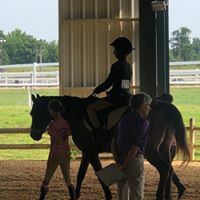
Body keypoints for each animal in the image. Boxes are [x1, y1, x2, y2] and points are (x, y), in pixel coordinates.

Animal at [29, 94, 189, 200]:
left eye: (36, 112)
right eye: (31, 113)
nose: (34, 135)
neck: (76, 113)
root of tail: (161, 106)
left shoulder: (91, 152)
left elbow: (98, 172)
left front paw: (108, 195)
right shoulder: (87, 152)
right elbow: (81, 174)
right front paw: (76, 195)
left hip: (150, 150)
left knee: (164, 168)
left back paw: (160, 195)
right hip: (164, 148)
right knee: (169, 169)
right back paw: (171, 194)